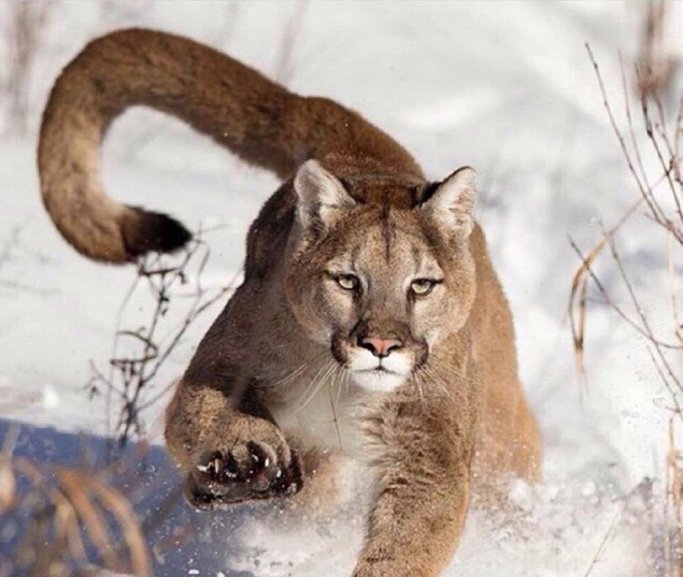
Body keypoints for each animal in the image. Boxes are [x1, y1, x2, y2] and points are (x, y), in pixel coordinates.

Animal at [38, 28, 540, 576]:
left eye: (421, 285)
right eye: (347, 280)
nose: (381, 345)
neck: (341, 384)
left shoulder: (429, 447)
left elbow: (408, 541)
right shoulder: (223, 363)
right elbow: (198, 414)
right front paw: (241, 459)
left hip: (497, 435)